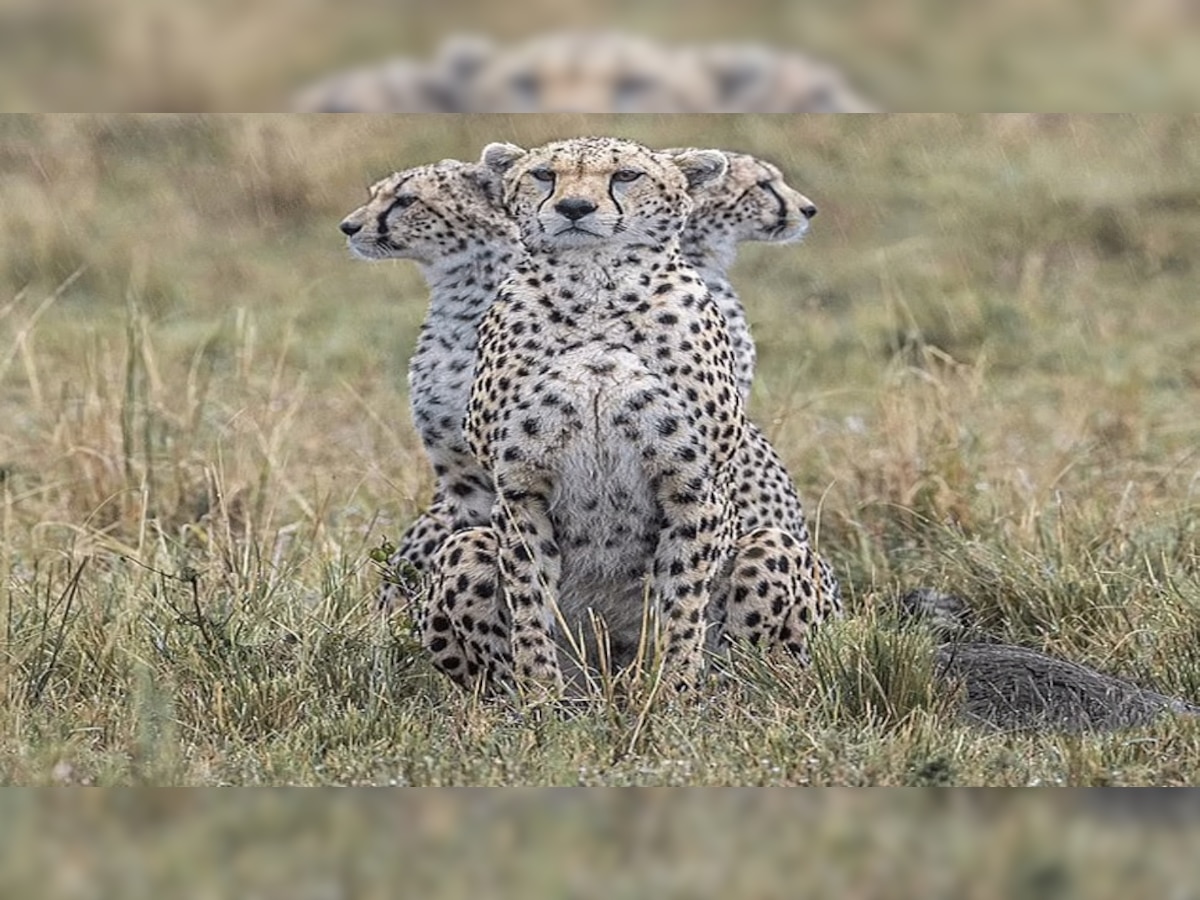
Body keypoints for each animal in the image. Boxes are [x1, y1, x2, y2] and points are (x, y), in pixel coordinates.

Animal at [427, 137, 840, 696]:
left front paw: (673, 694)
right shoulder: (518, 488)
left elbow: (681, 602)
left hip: (772, 549)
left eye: (625, 176)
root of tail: (609, 674)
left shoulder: (693, 485)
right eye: (543, 175)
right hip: (467, 546)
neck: (594, 289)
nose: (574, 208)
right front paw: (540, 699)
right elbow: (530, 602)